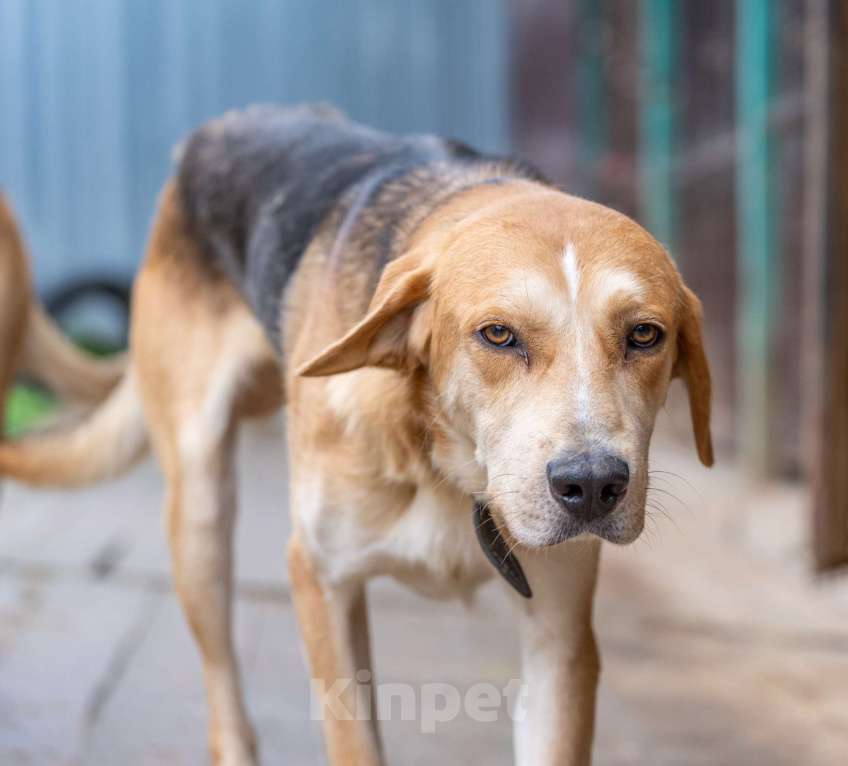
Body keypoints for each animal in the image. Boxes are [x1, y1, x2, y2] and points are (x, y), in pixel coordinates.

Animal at [0, 106, 712, 766]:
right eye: (498, 334)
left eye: (644, 334)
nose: (592, 486)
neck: (450, 465)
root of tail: (207, 135)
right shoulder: (321, 578)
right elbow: (353, 740)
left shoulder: (560, 635)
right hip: (200, 513)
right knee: (223, 686)